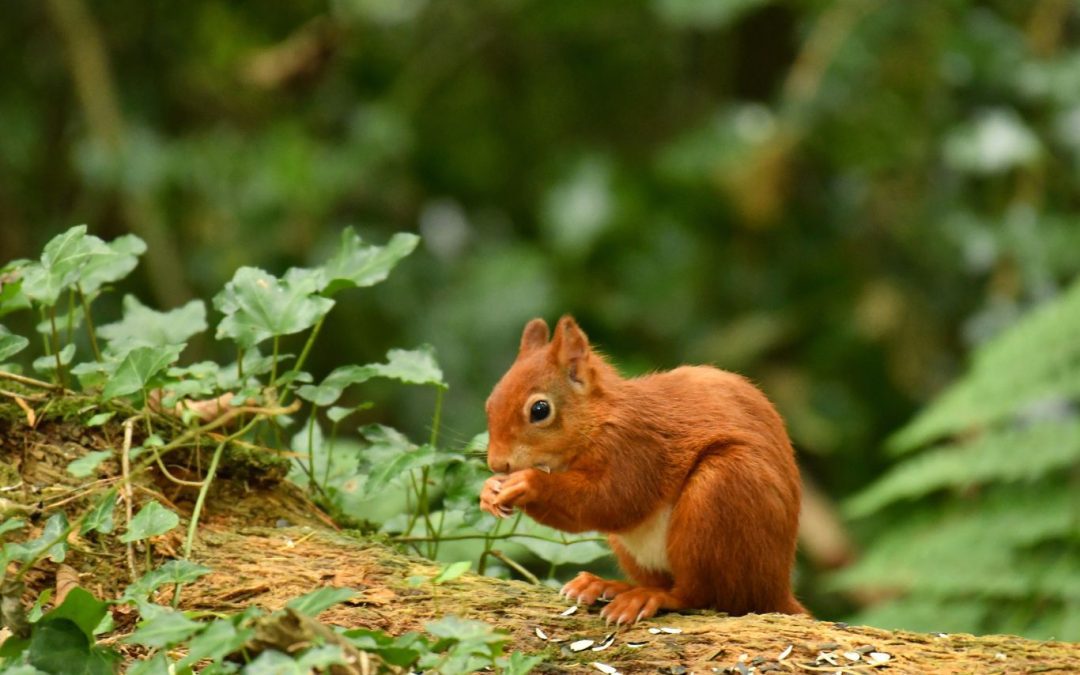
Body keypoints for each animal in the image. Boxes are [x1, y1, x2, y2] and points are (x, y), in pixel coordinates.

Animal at [479, 316, 807, 624]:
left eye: (540, 410)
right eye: (489, 403)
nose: (498, 464)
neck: (599, 420)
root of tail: (776, 587)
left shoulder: (636, 449)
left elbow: (610, 502)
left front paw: (528, 483)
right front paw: (489, 490)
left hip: (720, 494)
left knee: (700, 594)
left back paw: (650, 597)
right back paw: (608, 585)